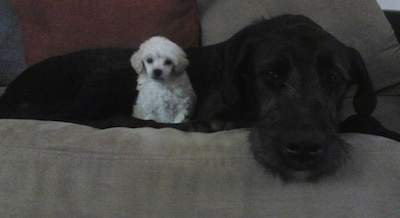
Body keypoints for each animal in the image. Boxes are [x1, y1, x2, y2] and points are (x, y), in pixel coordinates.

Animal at [0, 14, 396, 181]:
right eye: (269, 75)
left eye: (334, 79)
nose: (304, 149)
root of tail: (13, 92)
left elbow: (360, 118)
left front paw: (386, 130)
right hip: (109, 72)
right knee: (87, 117)